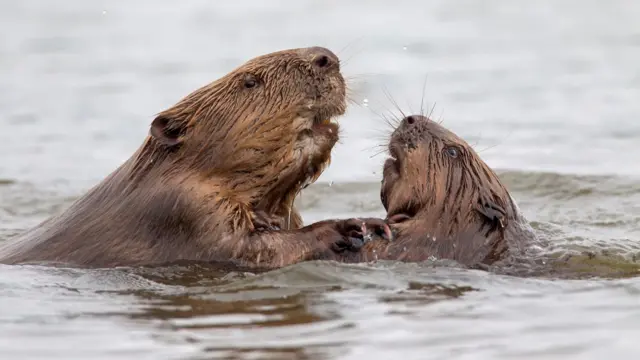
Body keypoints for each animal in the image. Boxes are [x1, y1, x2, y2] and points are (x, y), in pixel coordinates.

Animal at [0, 46, 388, 268]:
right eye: (250, 81)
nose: (325, 58)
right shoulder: (185, 208)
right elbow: (249, 250)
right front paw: (347, 228)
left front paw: (371, 224)